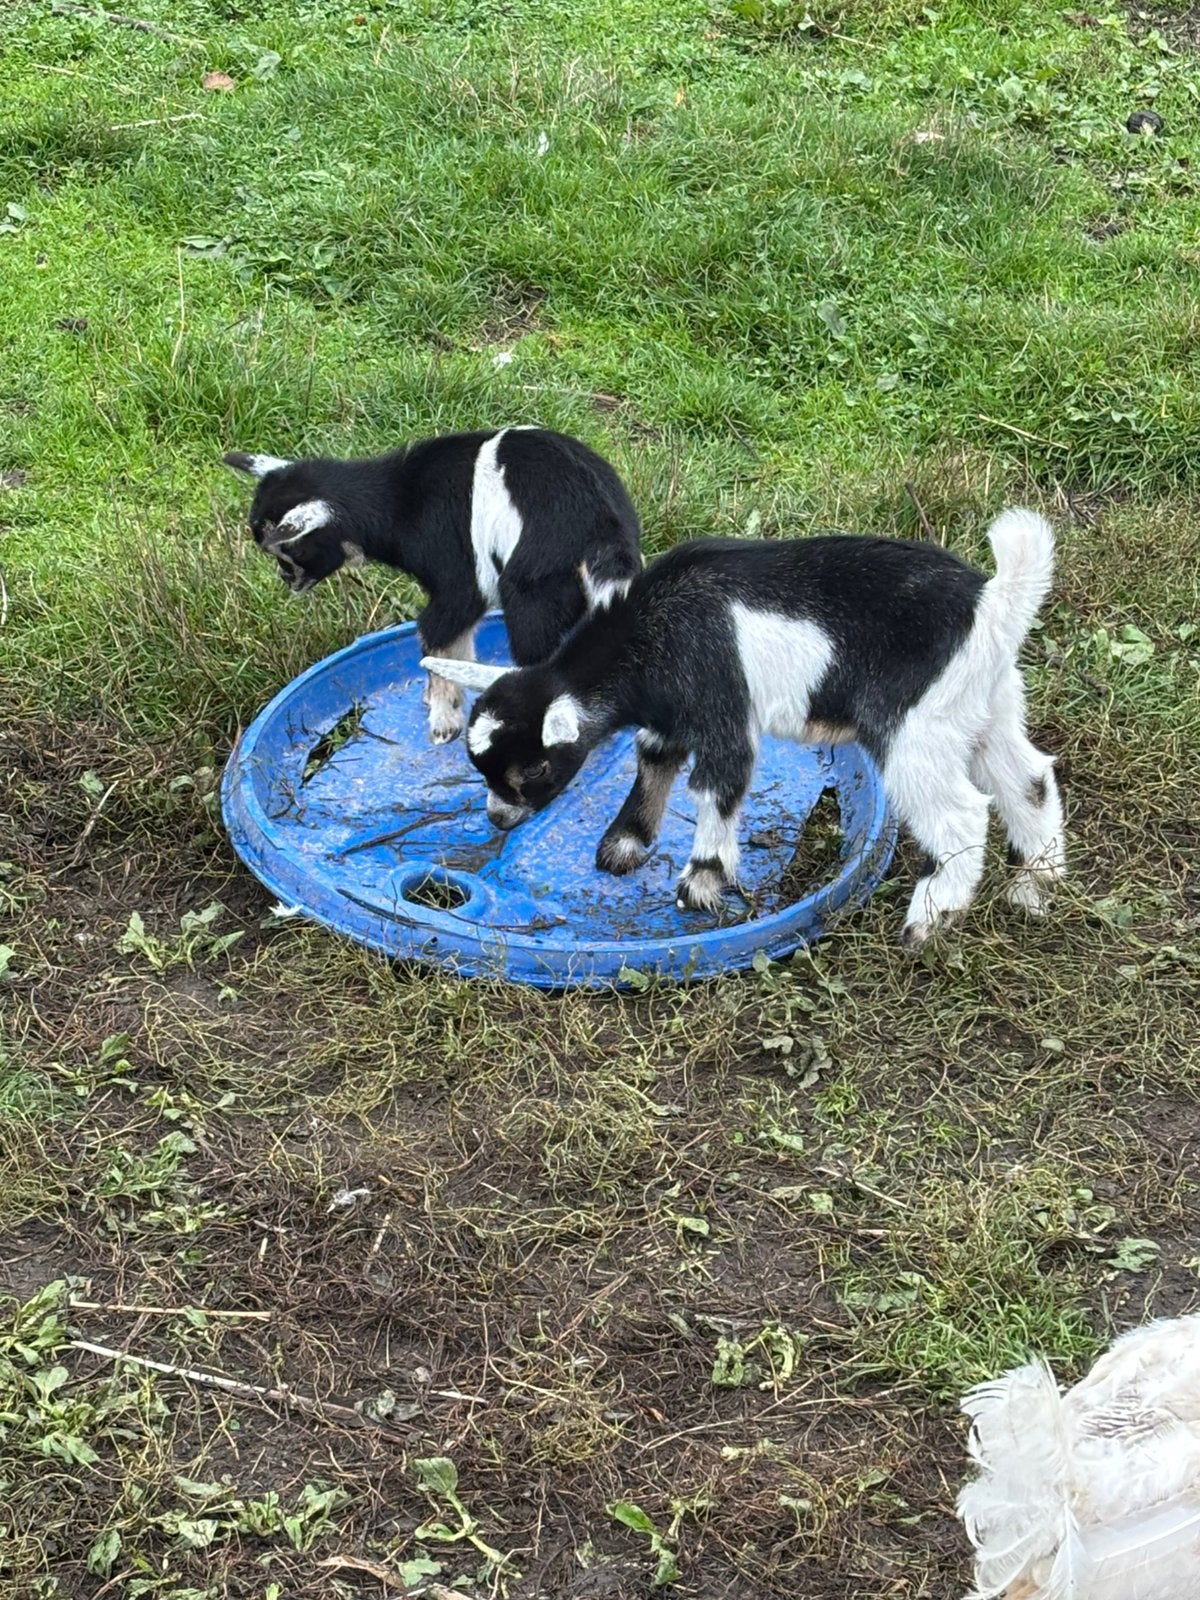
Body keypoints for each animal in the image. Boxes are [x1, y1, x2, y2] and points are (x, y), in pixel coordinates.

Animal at [223, 427, 642, 744]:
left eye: (289, 550)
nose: (285, 580)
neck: (401, 501)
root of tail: (602, 533)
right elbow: (457, 645)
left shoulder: (461, 578)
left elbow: (434, 633)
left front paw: (444, 719)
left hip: (532, 588)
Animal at [423, 510, 1066, 946]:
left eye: (533, 766)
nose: (499, 818)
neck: (643, 636)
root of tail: (993, 601)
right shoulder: (674, 713)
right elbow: (654, 758)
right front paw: (625, 843)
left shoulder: (718, 701)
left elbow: (719, 783)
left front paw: (701, 882)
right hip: (984, 701)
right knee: (1028, 779)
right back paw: (1037, 885)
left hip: (915, 724)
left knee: (961, 811)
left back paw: (932, 918)